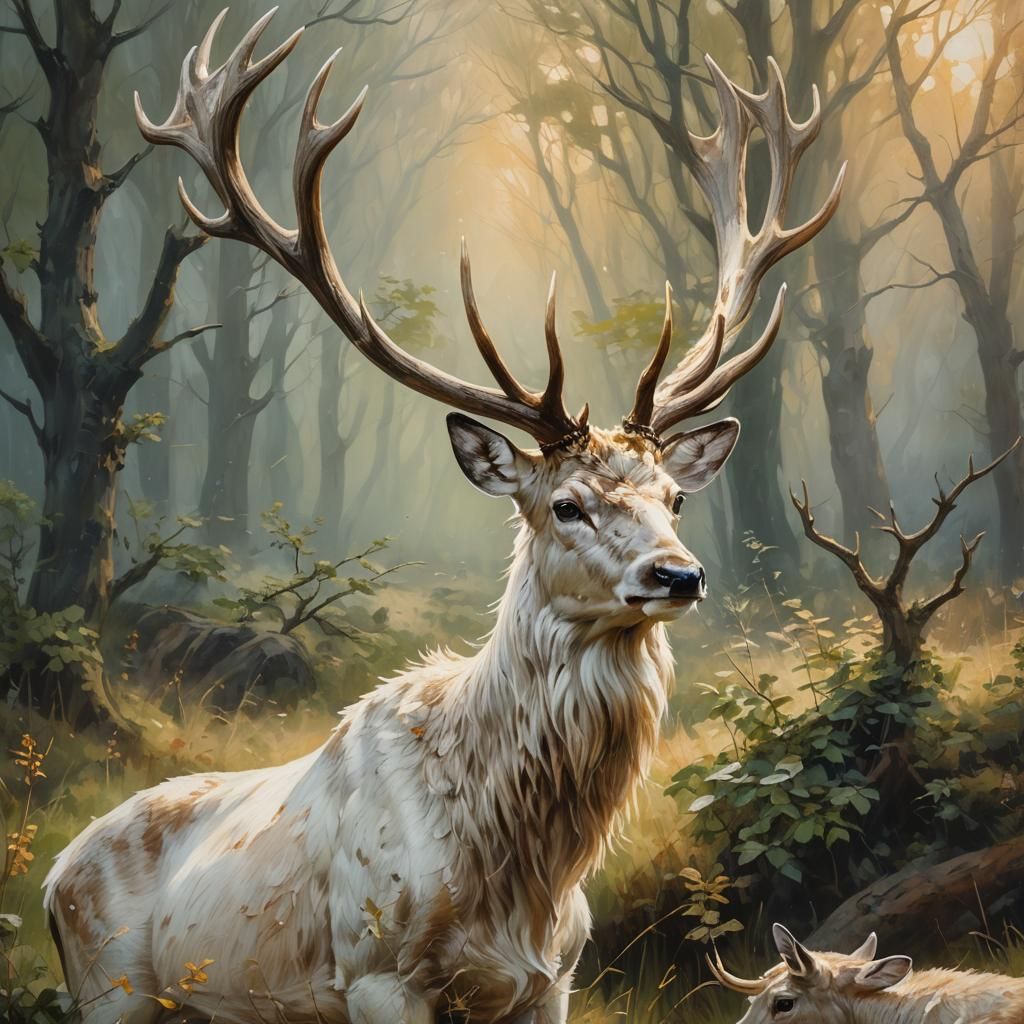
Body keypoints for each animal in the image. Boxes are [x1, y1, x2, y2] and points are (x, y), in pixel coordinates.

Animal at [43, 9, 844, 1024]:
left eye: (672, 497)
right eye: (565, 505)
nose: (679, 573)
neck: (520, 875)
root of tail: (50, 881)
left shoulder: (556, 978)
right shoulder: (376, 972)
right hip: (111, 986)